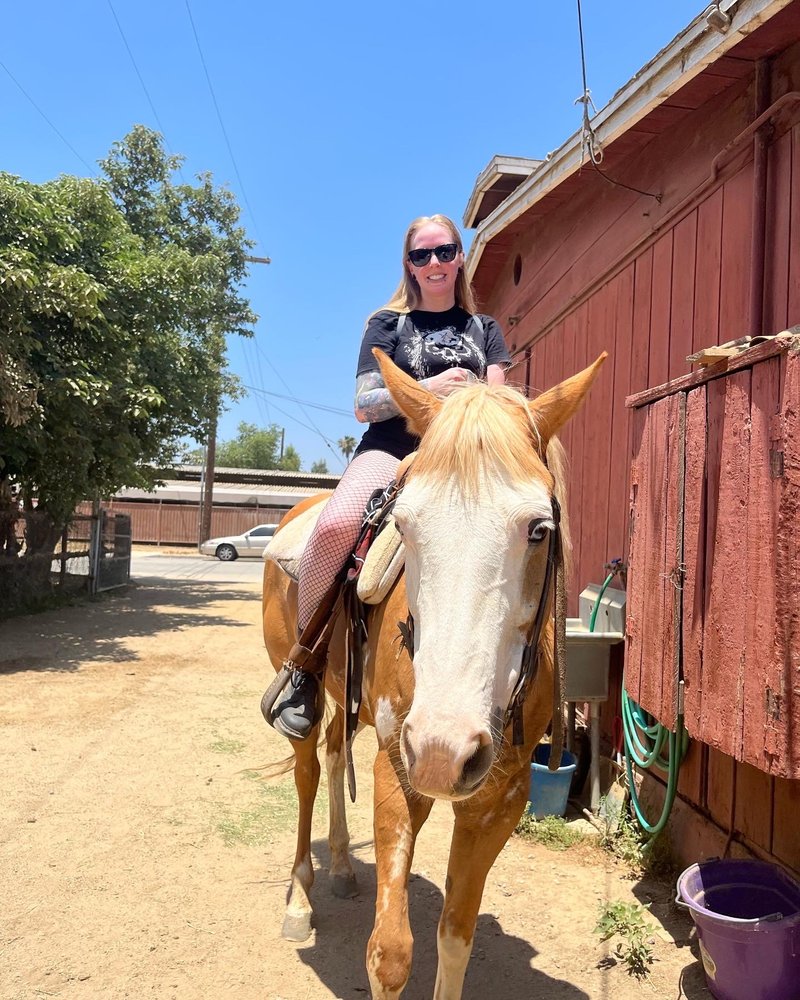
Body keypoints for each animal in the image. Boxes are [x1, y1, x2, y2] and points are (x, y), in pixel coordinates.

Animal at [261, 348, 606, 999]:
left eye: (539, 529)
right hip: (303, 686)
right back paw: (299, 901)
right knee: (309, 772)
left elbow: (456, 937)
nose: (444, 753)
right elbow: (391, 953)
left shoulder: (499, 799)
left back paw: (342, 866)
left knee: (335, 754)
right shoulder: (397, 770)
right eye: (406, 523)